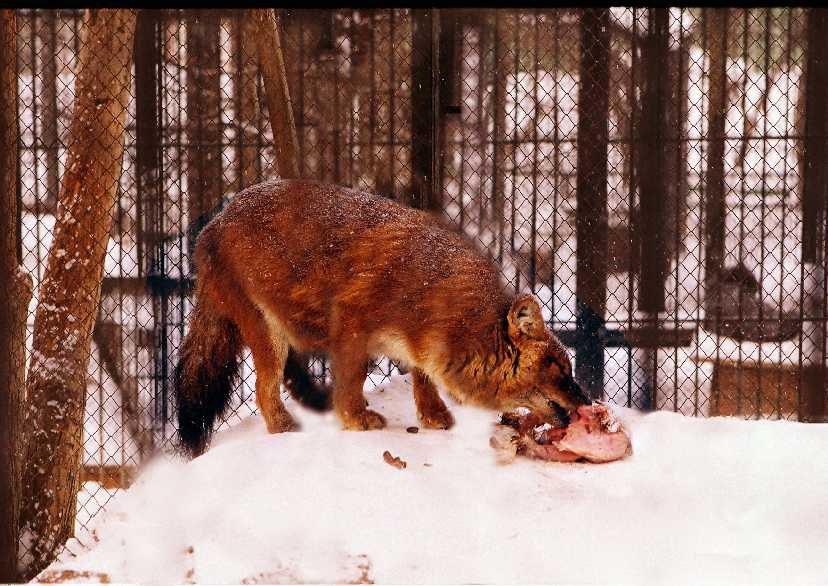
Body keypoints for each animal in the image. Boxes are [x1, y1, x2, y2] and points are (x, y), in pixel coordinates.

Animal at [173, 179, 589, 457]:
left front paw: (434, 414)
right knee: (264, 386)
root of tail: (211, 224)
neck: (443, 295)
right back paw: (285, 427)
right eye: (559, 368)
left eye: (570, 370)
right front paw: (356, 419)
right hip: (266, 332)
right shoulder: (352, 325)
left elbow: (423, 376)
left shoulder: (420, 342)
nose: (587, 404)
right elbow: (353, 379)